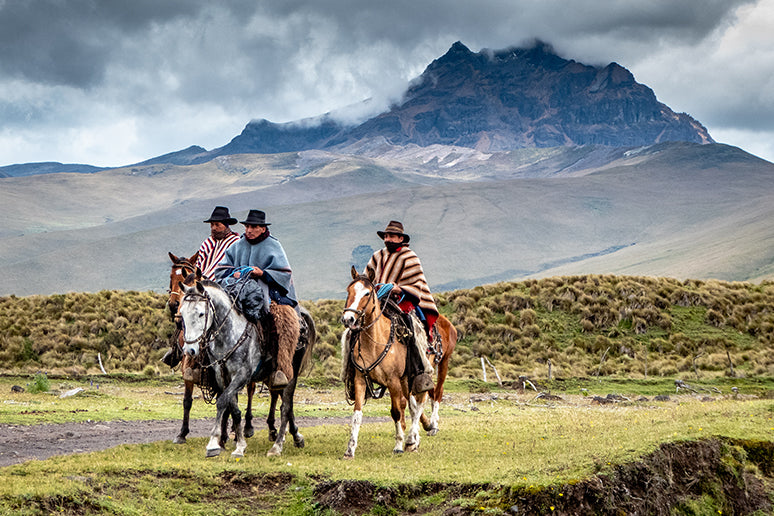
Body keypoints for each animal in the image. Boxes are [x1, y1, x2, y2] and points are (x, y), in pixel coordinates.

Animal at [342, 268, 434, 458]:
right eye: (349, 291)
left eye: (367, 293)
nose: (348, 319)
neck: (375, 343)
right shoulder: (360, 380)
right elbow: (357, 414)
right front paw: (350, 448)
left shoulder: (393, 382)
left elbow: (396, 412)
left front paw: (398, 445)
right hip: (405, 381)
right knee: (412, 406)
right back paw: (414, 440)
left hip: (414, 377)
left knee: (418, 403)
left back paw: (411, 439)